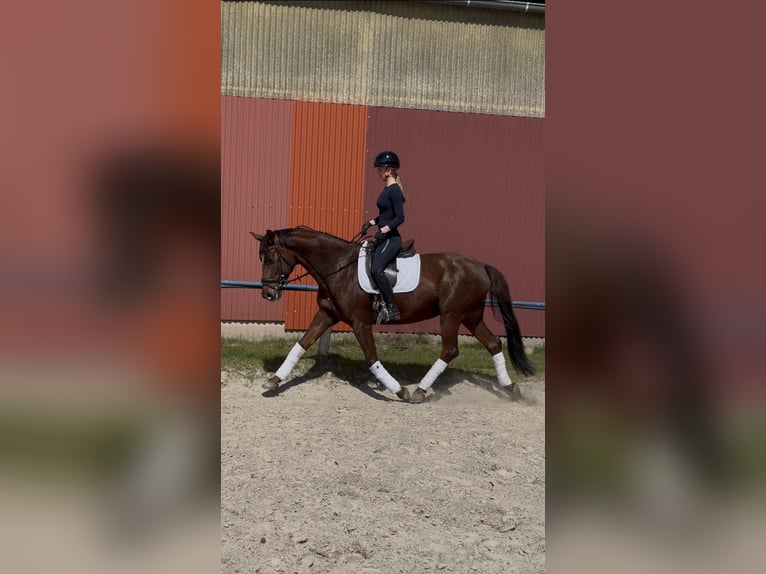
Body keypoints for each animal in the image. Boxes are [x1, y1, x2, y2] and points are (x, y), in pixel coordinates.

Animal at [250, 226, 535, 403]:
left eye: (271, 258)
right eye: (261, 257)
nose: (267, 294)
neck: (338, 267)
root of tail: (480, 265)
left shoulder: (360, 322)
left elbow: (372, 358)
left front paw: (400, 392)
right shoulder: (326, 315)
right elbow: (300, 345)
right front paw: (273, 381)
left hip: (451, 316)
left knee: (450, 350)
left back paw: (419, 391)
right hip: (471, 316)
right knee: (493, 343)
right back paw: (511, 388)